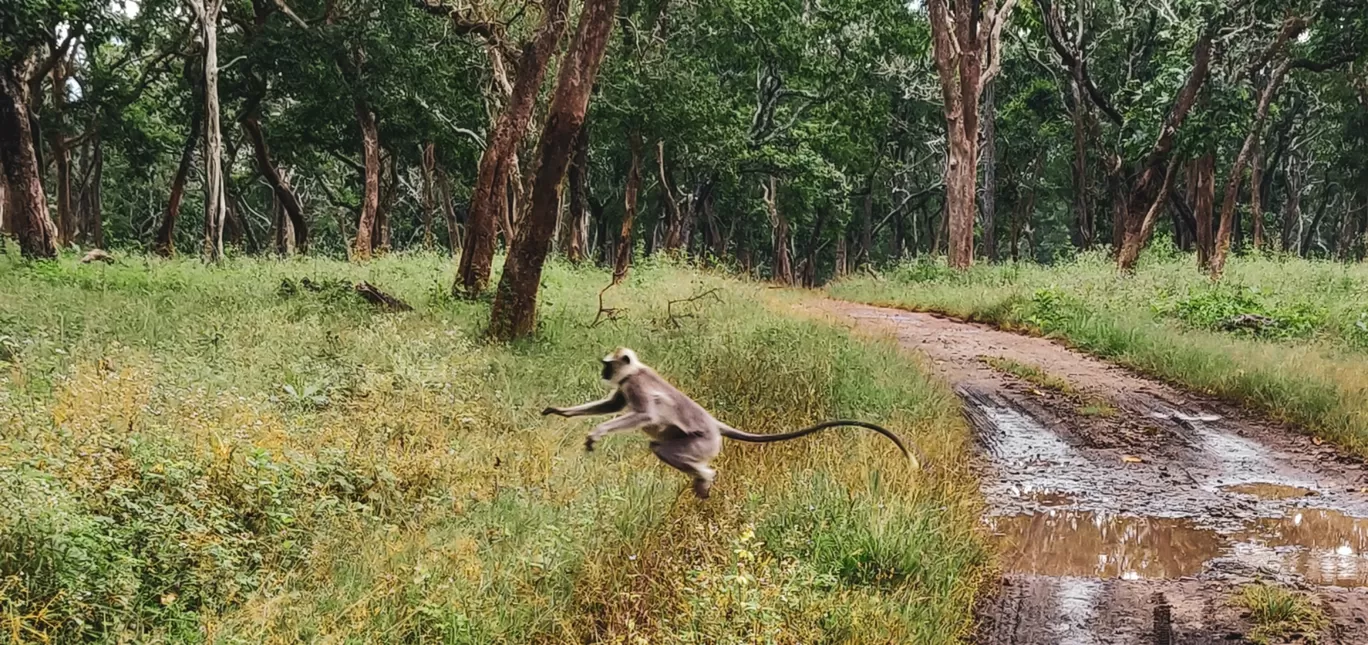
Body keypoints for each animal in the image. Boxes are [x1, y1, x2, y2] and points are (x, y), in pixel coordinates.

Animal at [538, 347, 913, 501]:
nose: (603, 372)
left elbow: (647, 415)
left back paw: (706, 476)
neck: (636, 370)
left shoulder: (637, 385)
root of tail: (715, 425)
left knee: (661, 446)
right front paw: (561, 412)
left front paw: (596, 434)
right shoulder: (624, 387)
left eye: (608, 364)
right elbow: (610, 405)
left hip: (702, 442)